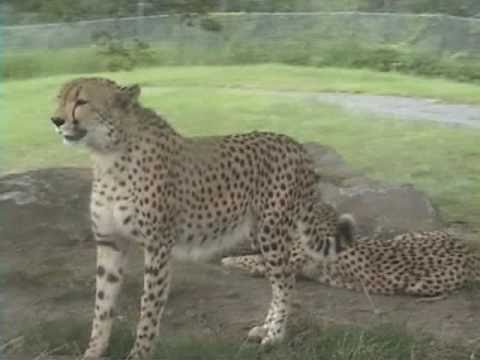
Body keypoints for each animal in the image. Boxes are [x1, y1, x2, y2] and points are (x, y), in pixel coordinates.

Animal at [49, 79, 356, 360]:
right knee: (280, 278)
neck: (108, 153)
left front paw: (139, 353)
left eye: (82, 101)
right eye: (60, 99)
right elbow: (102, 304)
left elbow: (149, 306)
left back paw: (275, 336)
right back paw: (265, 327)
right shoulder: (110, 241)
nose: (56, 120)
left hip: (272, 232)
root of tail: (295, 144)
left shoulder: (158, 246)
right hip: (260, 234)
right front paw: (93, 352)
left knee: (286, 282)